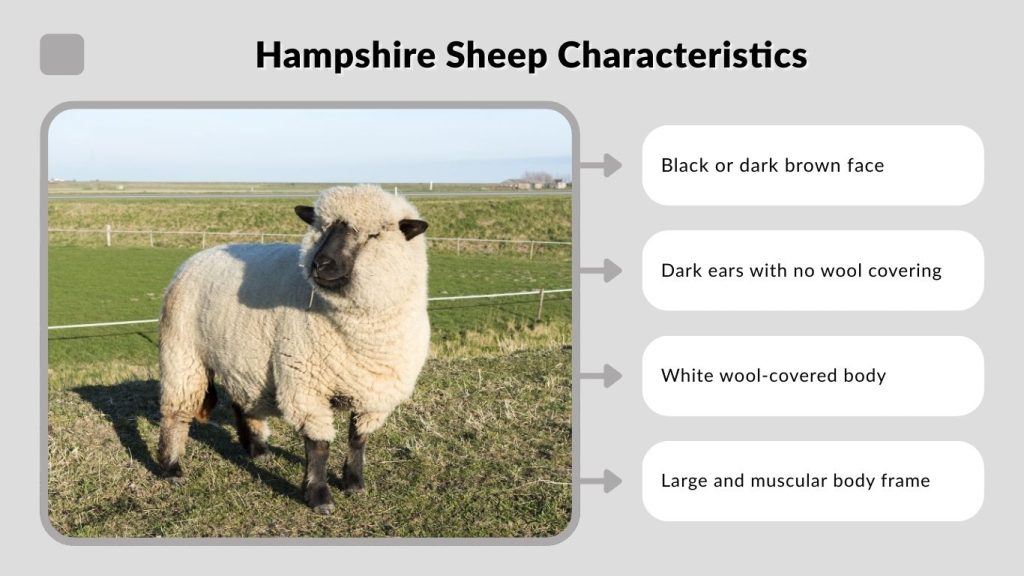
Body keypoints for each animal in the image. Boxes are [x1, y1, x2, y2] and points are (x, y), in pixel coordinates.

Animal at [156, 184, 430, 514]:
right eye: (320, 227)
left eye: (374, 235)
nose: (320, 264)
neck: (359, 334)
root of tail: (197, 256)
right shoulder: (306, 384)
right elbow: (319, 446)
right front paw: (319, 497)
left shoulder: (377, 393)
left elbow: (358, 439)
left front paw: (354, 483)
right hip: (182, 351)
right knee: (176, 410)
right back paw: (171, 468)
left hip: (242, 357)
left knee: (241, 401)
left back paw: (257, 449)